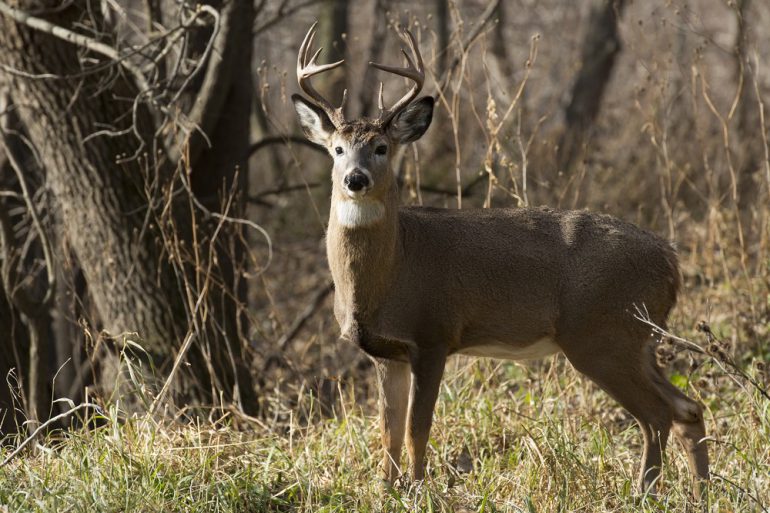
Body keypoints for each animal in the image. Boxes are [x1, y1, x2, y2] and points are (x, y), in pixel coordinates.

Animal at [291, 22, 709, 495]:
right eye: (337, 149)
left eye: (381, 147)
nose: (355, 179)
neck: (392, 271)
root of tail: (671, 262)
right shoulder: (386, 352)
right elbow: (389, 435)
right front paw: (387, 490)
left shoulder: (434, 335)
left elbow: (418, 429)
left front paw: (419, 490)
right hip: (640, 338)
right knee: (688, 407)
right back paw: (701, 491)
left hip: (603, 334)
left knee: (657, 414)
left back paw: (643, 492)